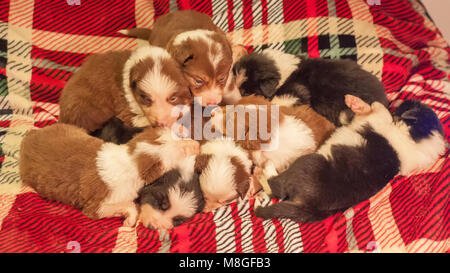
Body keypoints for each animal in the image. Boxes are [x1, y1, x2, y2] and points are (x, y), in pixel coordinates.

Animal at [19, 123, 199, 225]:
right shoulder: (97, 207)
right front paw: (130, 219)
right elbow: (128, 205)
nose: (196, 144)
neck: (131, 158)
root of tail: (29, 137)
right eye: (182, 150)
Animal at [255, 94, 444, 222]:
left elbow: (377, 108)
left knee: (275, 186)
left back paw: (263, 170)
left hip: (306, 163)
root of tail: (308, 206)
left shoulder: (378, 119)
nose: (404, 101)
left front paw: (356, 103)